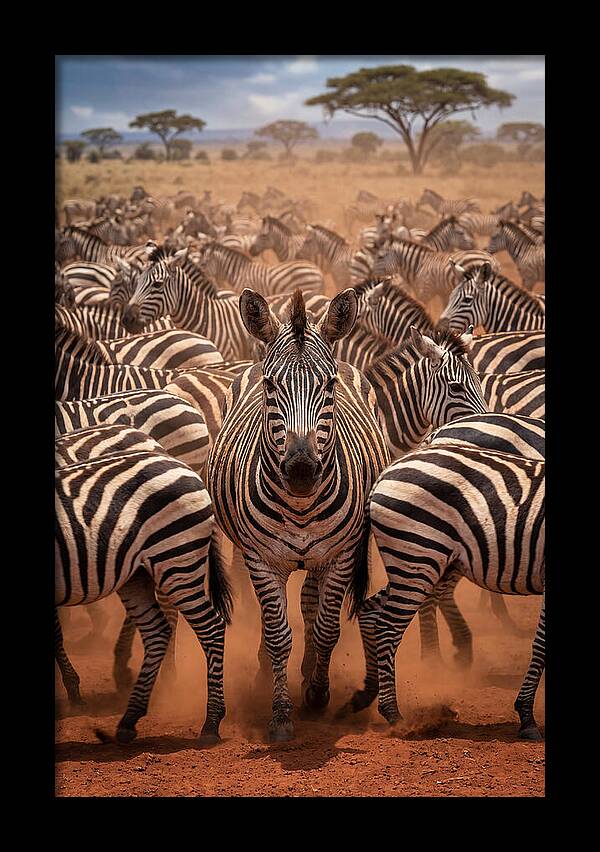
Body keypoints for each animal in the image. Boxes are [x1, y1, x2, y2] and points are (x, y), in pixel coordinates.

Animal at [55, 443, 232, 744]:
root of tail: (184, 466)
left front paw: (73, 691)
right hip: (137, 575)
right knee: (157, 631)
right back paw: (129, 719)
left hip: (176, 559)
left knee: (211, 628)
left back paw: (211, 723)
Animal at [207, 288, 390, 742]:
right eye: (271, 386)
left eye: (329, 386)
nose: (302, 470)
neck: (302, 506)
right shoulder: (261, 559)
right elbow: (277, 634)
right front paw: (280, 714)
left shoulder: (342, 554)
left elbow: (326, 627)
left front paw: (317, 693)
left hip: (324, 556)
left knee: (310, 601)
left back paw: (309, 672)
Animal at [346, 444, 545, 741]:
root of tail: (386, 472)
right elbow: (542, 644)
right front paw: (526, 717)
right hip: (417, 556)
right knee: (387, 628)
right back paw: (394, 715)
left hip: (413, 564)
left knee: (369, 611)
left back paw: (366, 694)